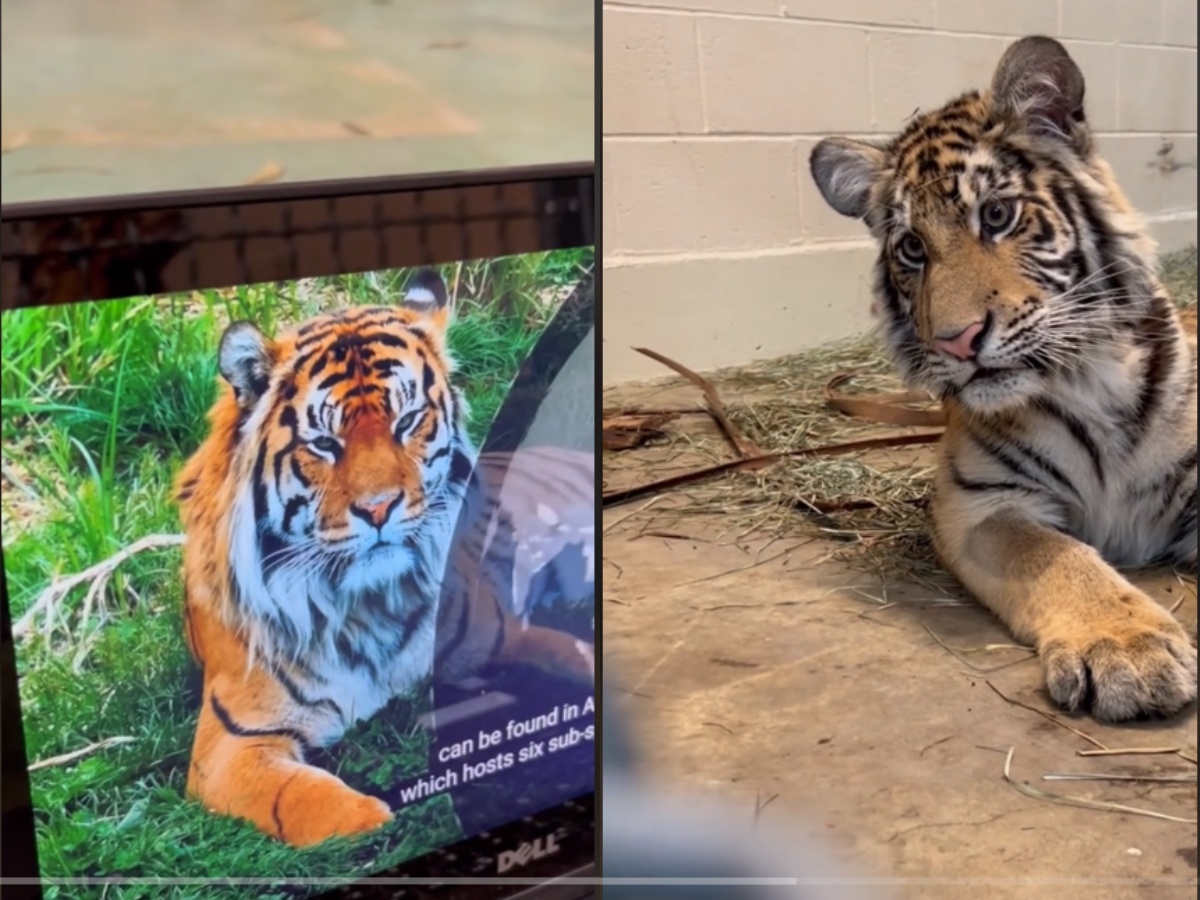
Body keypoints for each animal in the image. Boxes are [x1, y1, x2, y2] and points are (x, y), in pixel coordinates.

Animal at [174, 268, 594, 847]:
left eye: (408, 421)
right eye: (324, 443)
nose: (378, 509)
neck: (371, 607)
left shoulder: (504, 636)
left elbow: (577, 656)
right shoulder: (231, 744)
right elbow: (302, 795)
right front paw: (374, 817)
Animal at [809, 35, 1197, 723]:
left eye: (995, 215)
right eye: (912, 248)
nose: (956, 340)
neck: (1086, 383)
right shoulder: (982, 504)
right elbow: (1059, 555)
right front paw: (1127, 647)